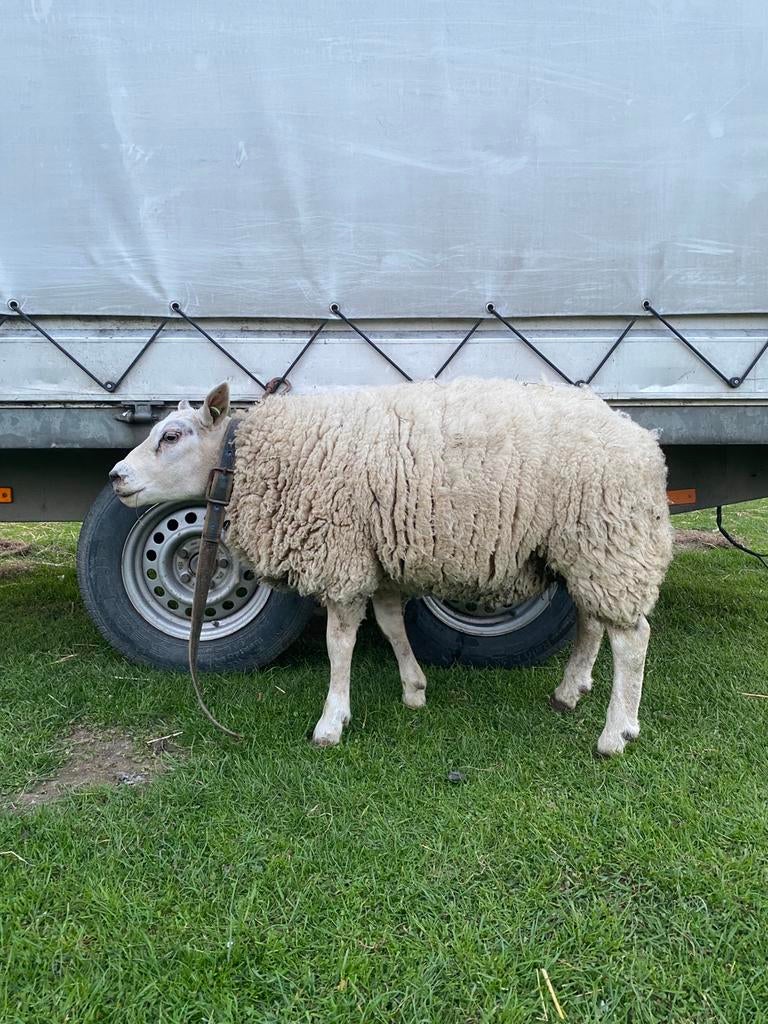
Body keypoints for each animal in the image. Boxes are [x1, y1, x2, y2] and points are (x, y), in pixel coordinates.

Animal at [109, 377, 674, 756]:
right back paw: (569, 692)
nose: (116, 477)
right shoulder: (376, 555)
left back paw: (616, 732)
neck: (253, 461)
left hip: (609, 538)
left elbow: (339, 645)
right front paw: (414, 689)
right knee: (593, 622)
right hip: (585, 549)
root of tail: (644, 443)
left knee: (633, 638)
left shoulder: (340, 556)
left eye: (171, 436)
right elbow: (390, 624)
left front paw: (331, 721)